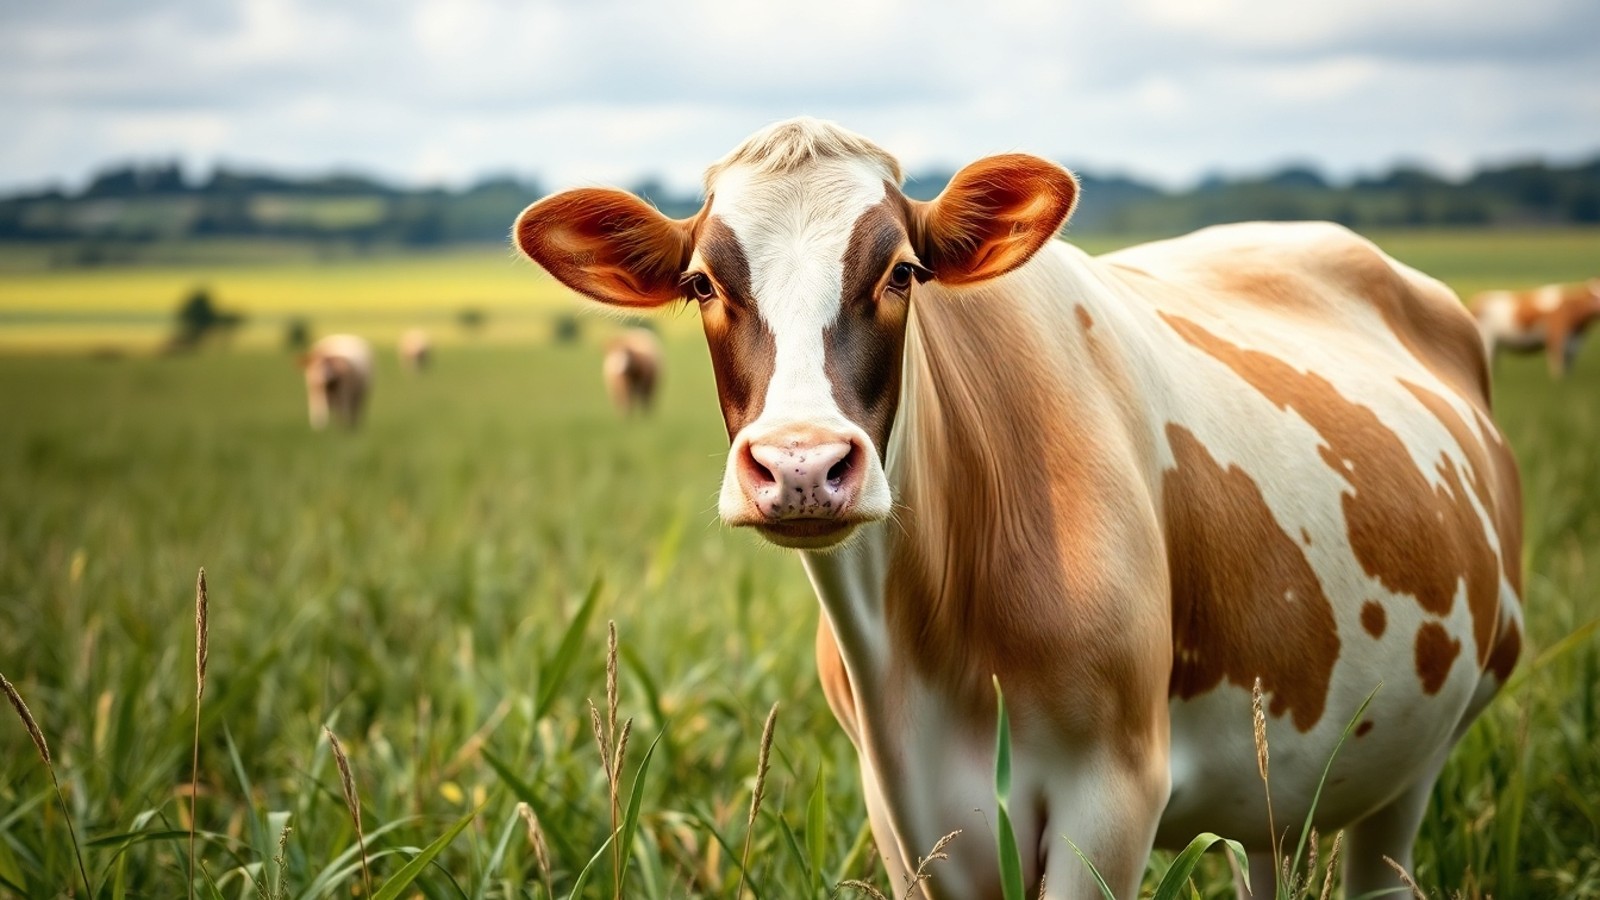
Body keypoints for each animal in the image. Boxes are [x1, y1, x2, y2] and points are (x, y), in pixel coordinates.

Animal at [512, 118, 1523, 898]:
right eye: (701, 284)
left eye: (902, 273)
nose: (802, 464)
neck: (923, 650)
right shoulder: (911, 821)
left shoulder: (1110, 795)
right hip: (1281, 787)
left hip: (1418, 754)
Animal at [1471, 280, 1600, 378]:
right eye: (1595, 295)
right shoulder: (1556, 340)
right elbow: (1557, 368)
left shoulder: (1573, 345)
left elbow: (1567, 370)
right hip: (1487, 340)